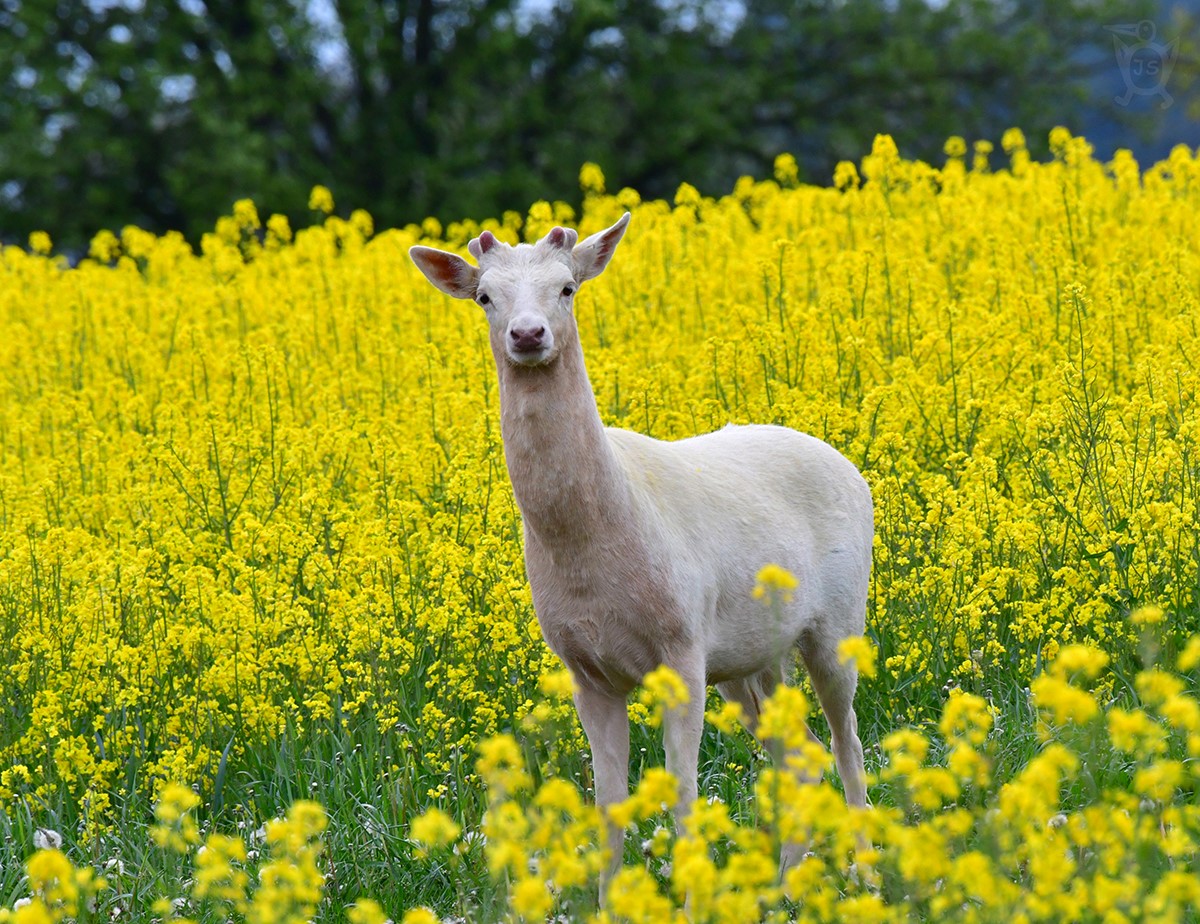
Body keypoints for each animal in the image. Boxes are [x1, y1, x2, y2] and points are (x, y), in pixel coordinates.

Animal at [412, 212, 873, 883]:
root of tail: (851, 467)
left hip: (839, 619)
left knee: (847, 741)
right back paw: (787, 883)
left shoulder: (681, 646)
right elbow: (608, 806)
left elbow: (682, 795)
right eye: (485, 297)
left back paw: (867, 871)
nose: (528, 334)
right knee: (799, 752)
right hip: (751, 657)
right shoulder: (586, 670)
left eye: (567, 287)